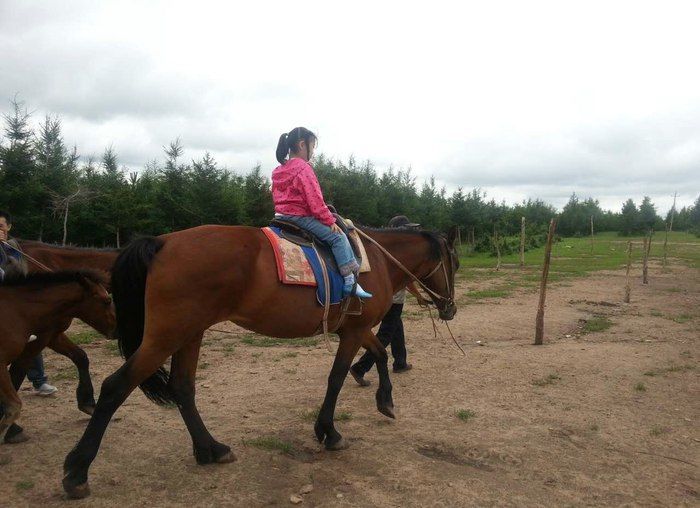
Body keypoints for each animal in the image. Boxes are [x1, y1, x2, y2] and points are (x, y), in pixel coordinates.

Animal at [63, 224, 460, 498]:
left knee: (182, 388)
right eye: (453, 264)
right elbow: (336, 378)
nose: (450, 308)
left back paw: (210, 449)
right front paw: (329, 432)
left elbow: (378, 353)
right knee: (116, 387)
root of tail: (163, 242)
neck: (373, 262)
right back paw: (77, 471)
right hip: (167, 335)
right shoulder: (353, 330)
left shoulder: (356, 328)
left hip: (190, 333)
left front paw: (385, 401)